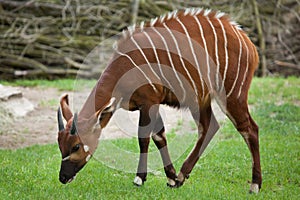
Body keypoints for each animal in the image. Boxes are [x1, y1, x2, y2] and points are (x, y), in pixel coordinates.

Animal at [57, 8, 262, 194]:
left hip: (232, 94)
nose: (63, 177)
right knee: (209, 126)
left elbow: (144, 137)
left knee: (249, 128)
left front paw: (139, 178)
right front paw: (172, 178)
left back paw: (255, 185)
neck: (124, 66)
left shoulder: (149, 101)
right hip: (200, 99)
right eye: (60, 145)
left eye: (76, 146)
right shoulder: (149, 103)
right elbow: (159, 136)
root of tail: (249, 44)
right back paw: (182, 176)